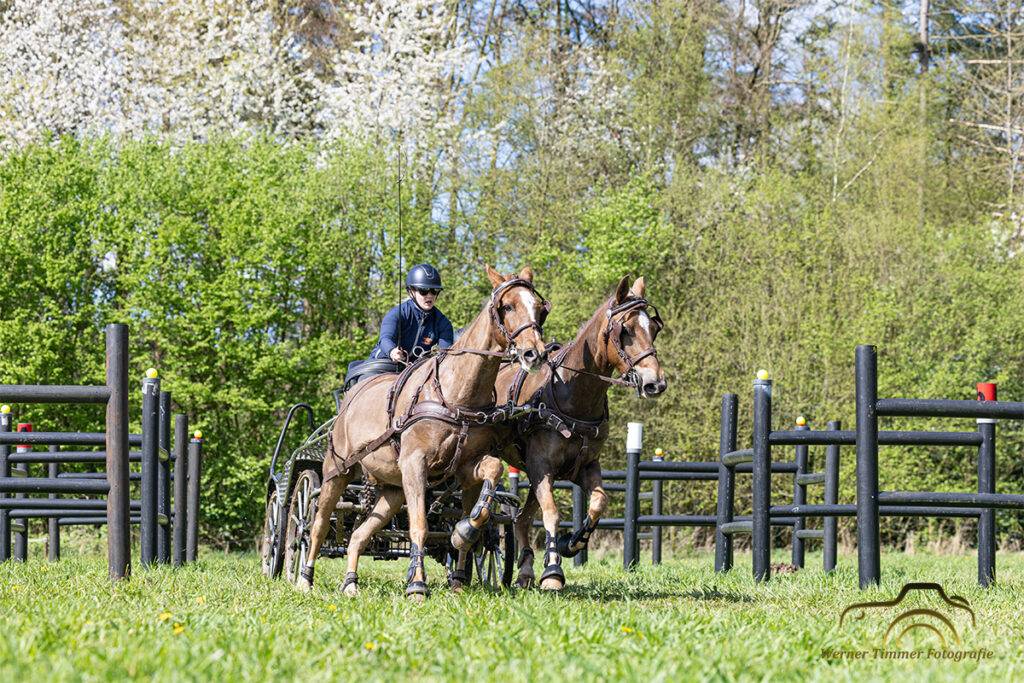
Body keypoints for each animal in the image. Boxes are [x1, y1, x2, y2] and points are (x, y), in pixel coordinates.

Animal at [298, 265, 550, 600]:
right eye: (507, 306)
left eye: (540, 308)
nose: (535, 354)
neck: (455, 394)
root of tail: (350, 399)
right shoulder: (415, 464)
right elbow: (419, 524)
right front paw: (417, 584)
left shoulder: (464, 468)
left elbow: (489, 480)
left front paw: (461, 555)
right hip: (335, 473)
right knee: (318, 524)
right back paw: (304, 578)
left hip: (391, 488)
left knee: (359, 534)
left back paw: (351, 582)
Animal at [493, 276, 666, 590]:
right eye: (625, 330)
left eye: (654, 328)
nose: (655, 383)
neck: (573, 392)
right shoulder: (542, 467)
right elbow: (552, 513)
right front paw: (552, 571)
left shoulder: (584, 466)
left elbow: (599, 502)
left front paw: (571, 543)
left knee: (522, 519)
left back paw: (525, 571)